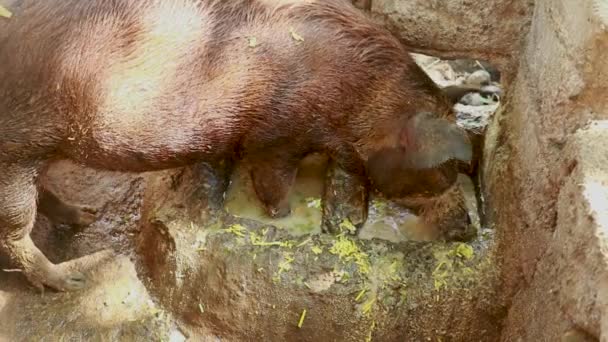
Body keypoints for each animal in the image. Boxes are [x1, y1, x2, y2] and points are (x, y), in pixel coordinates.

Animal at [0, 0, 472, 292]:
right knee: (14, 228)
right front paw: (281, 215)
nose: (468, 227)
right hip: (15, 150)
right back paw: (69, 282)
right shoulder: (277, 137)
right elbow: (271, 179)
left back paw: (85, 217)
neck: (361, 101)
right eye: (441, 172)